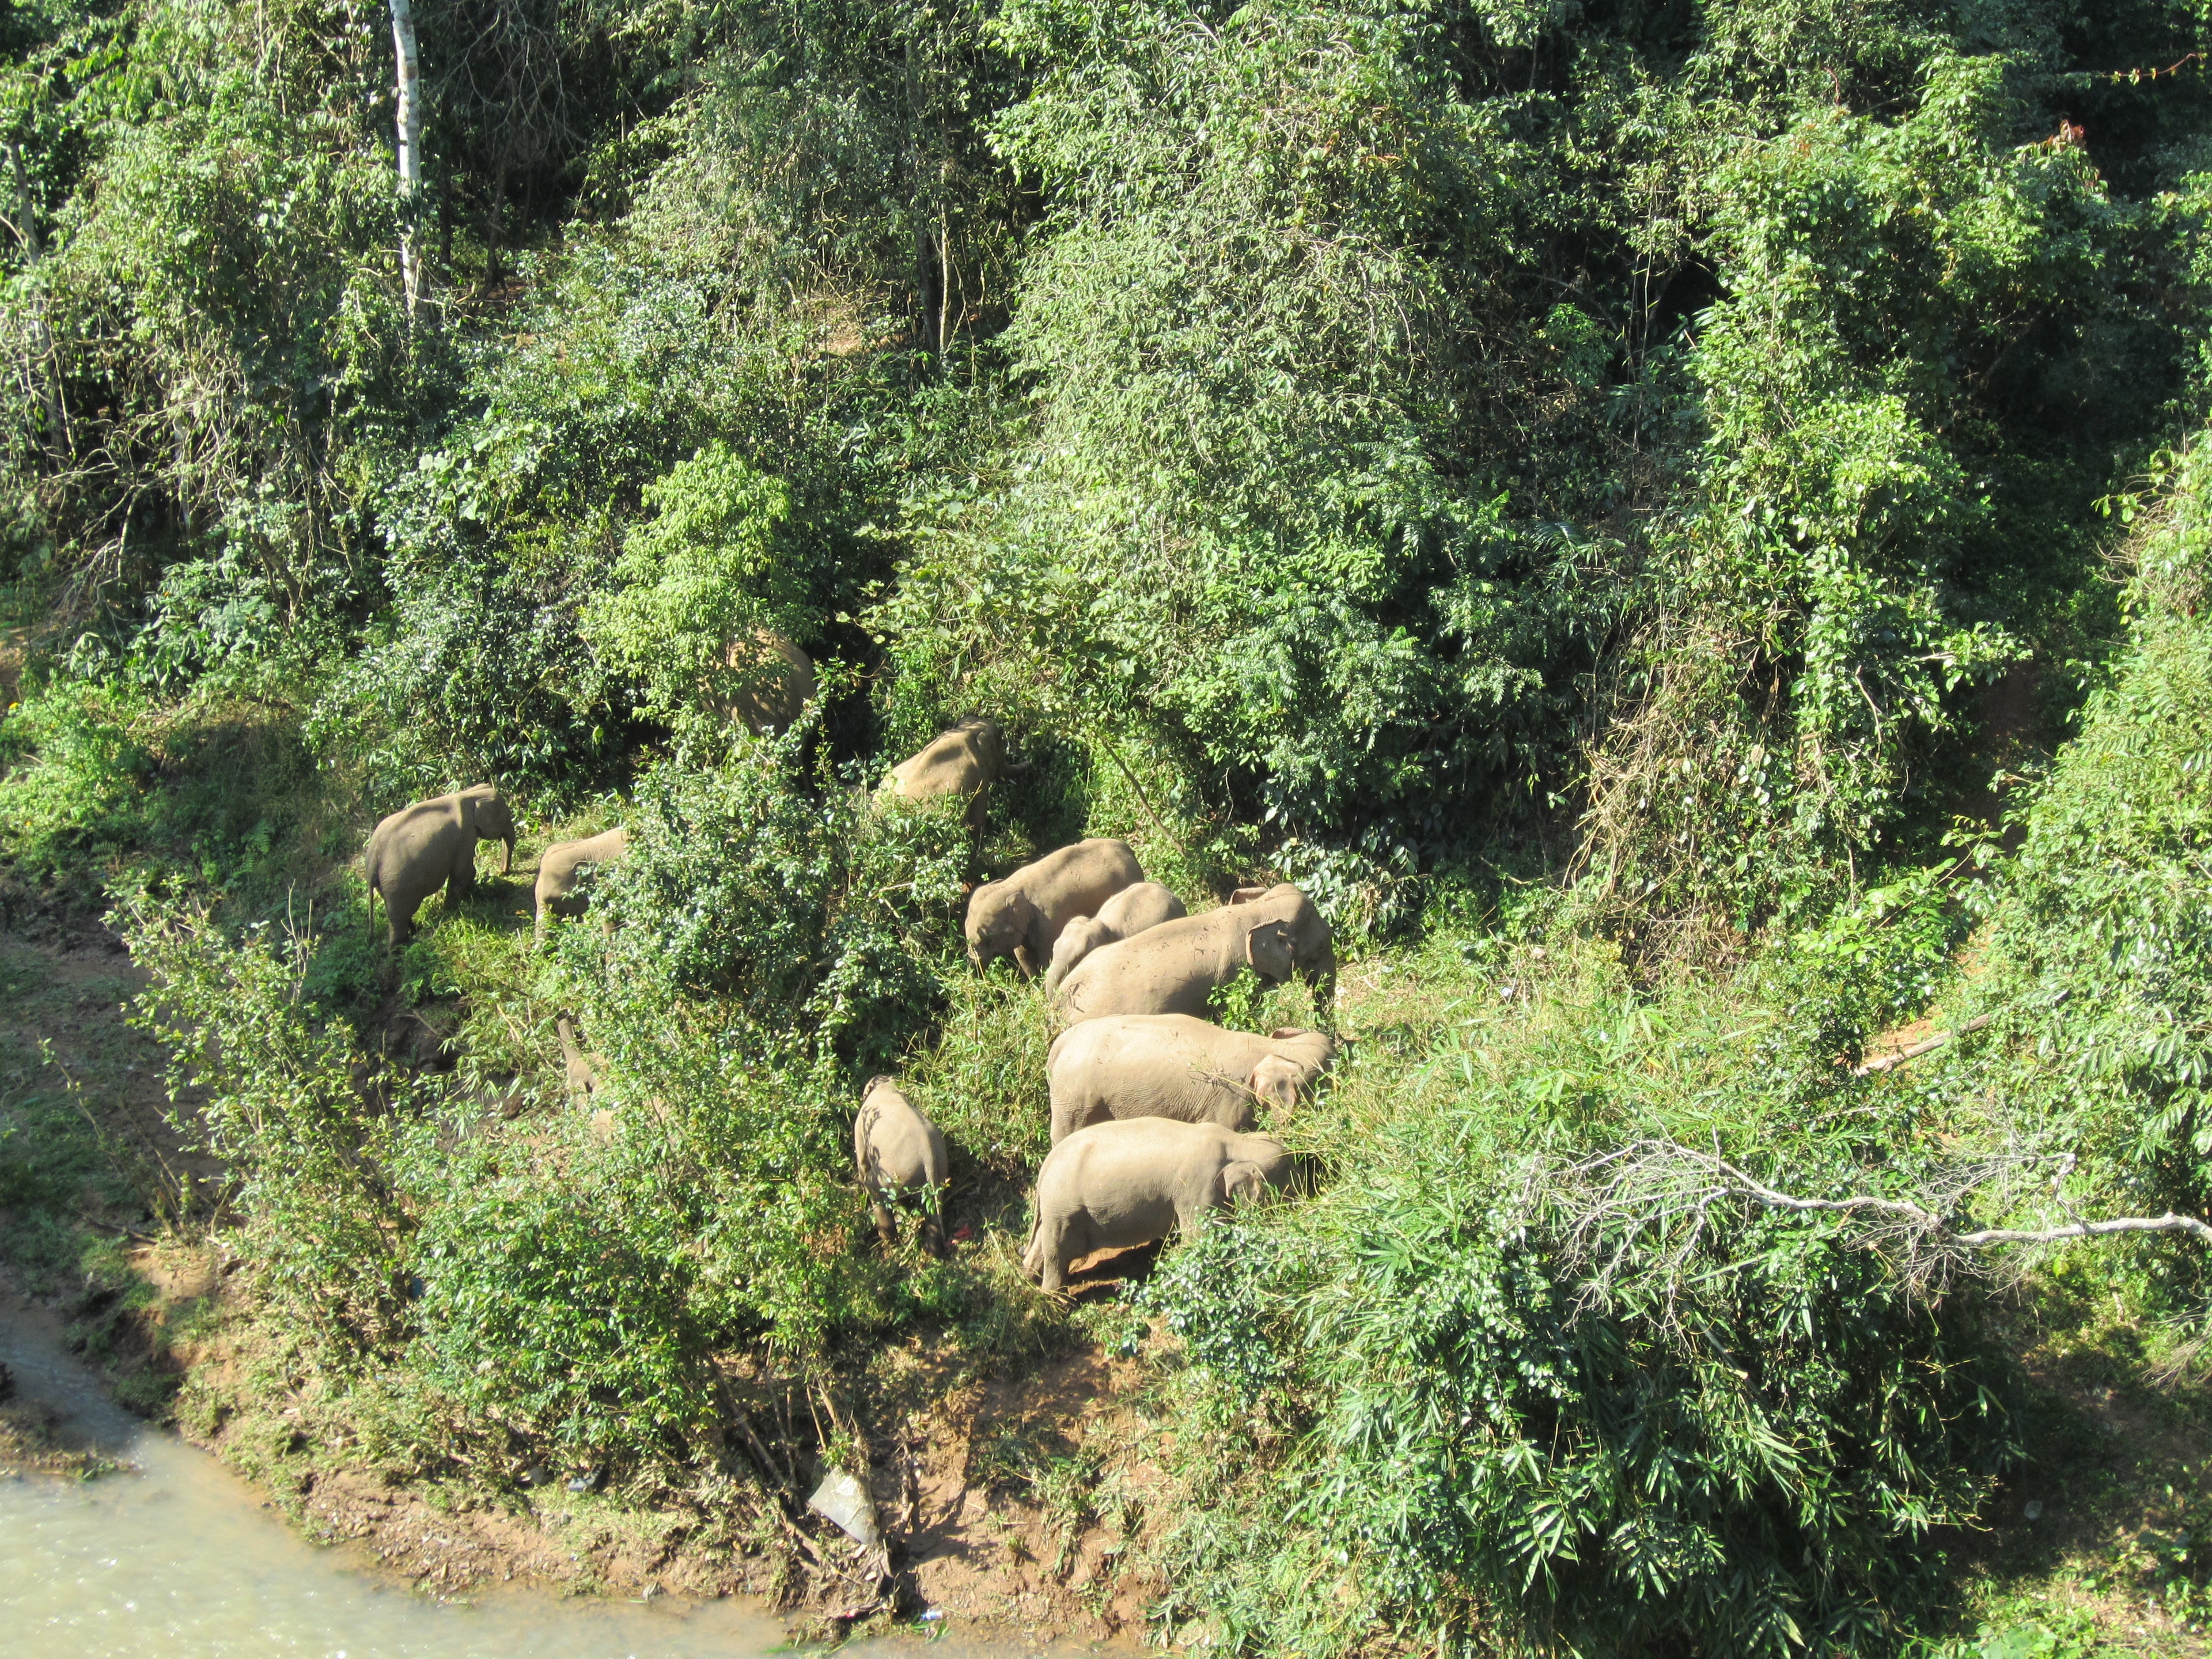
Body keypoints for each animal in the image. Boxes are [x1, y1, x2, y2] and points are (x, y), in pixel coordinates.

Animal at [365, 784, 516, 946]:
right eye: (508, 817)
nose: (502, 872)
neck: (471, 794)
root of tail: (373, 858)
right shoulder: (466, 835)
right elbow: (464, 872)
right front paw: (451, 910)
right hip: (398, 882)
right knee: (399, 919)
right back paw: (401, 948)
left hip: (387, 884)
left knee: (400, 913)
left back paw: (413, 933)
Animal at [854, 1076, 951, 1255]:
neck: (886, 1087)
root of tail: (929, 1155)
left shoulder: (861, 1126)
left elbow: (862, 1163)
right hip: (940, 1171)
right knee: (934, 1209)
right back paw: (931, 1253)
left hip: (894, 1174)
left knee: (874, 1190)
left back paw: (889, 1242)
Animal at [965, 838, 1145, 976]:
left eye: (987, 941)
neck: (1010, 886)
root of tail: (1128, 850)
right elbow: (1024, 957)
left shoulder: (1048, 922)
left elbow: (1045, 957)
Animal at [1021, 1118, 1291, 1292]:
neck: (1237, 1141)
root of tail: (1048, 1162)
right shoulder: (1198, 1187)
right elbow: (1198, 1236)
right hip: (1065, 1207)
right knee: (1057, 1252)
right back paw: (1054, 1297)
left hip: (1056, 1209)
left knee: (1042, 1245)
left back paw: (1028, 1280)